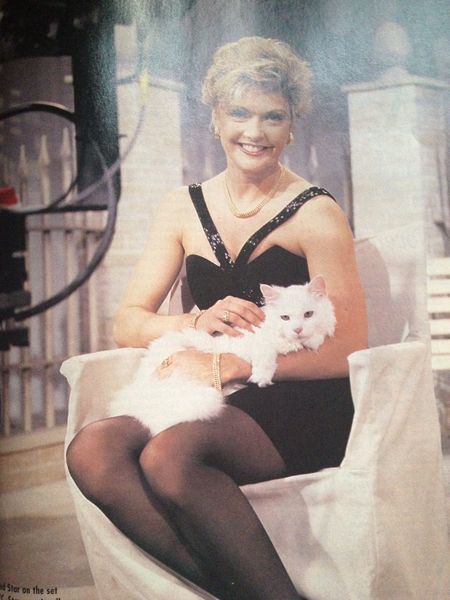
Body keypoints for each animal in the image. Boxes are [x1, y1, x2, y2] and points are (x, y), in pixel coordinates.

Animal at [109, 275, 336, 435]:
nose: (297, 329)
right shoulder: (254, 344)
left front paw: (309, 341)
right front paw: (262, 378)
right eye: (285, 317)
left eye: (308, 314)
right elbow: (266, 355)